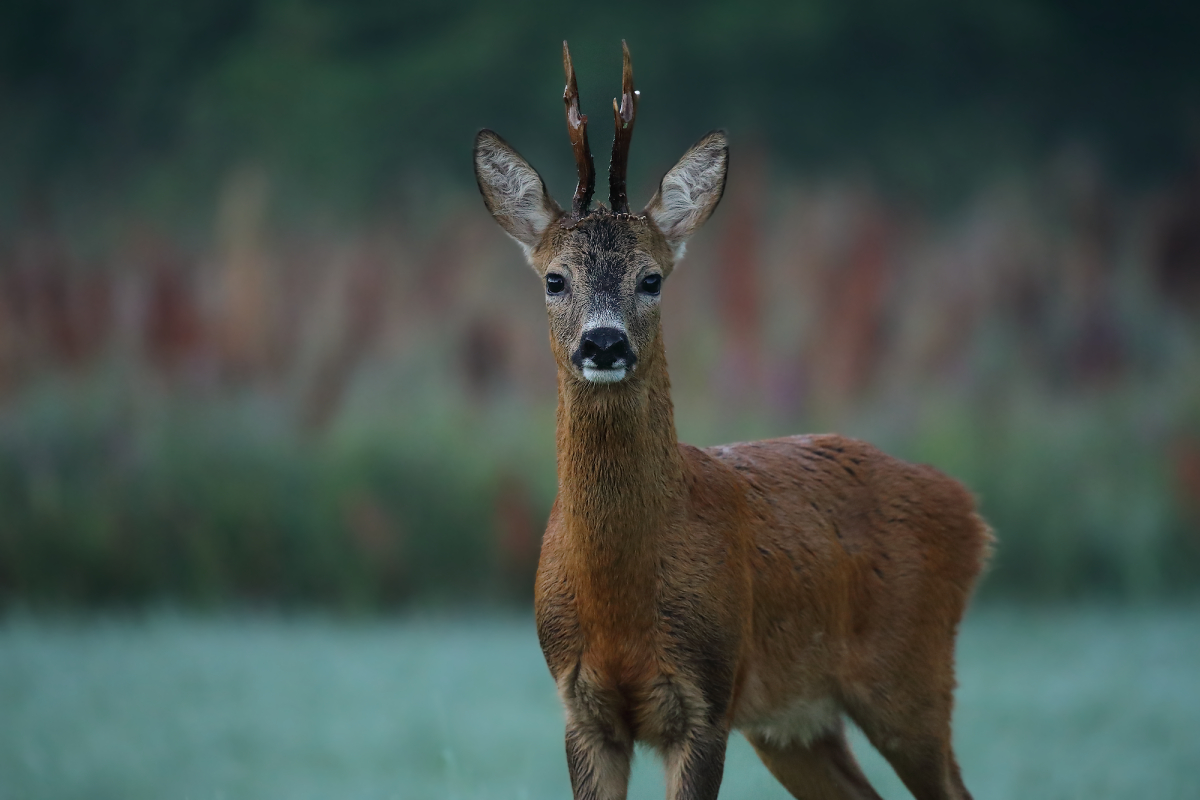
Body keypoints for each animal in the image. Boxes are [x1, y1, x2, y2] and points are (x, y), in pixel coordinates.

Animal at [472, 43, 988, 800]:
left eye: (652, 278)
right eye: (554, 279)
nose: (604, 343)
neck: (619, 602)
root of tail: (971, 513)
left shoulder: (709, 697)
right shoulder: (580, 707)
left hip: (911, 673)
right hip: (793, 720)